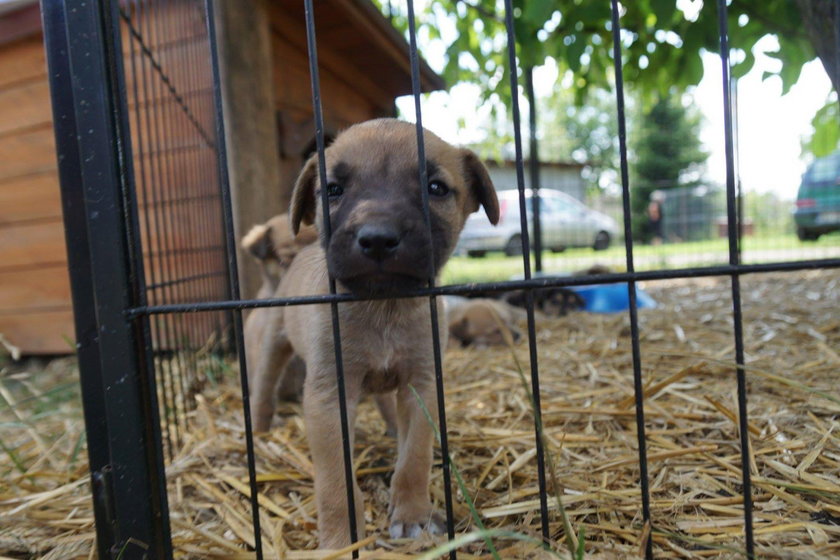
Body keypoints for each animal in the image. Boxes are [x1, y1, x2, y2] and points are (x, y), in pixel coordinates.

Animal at [249, 119, 498, 548]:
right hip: (274, 348)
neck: (384, 305)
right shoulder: (329, 397)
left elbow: (414, 456)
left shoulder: (420, 385)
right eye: (333, 189)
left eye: (435, 188)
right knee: (263, 390)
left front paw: (412, 513)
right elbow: (335, 478)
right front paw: (341, 538)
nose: (378, 238)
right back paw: (260, 431)